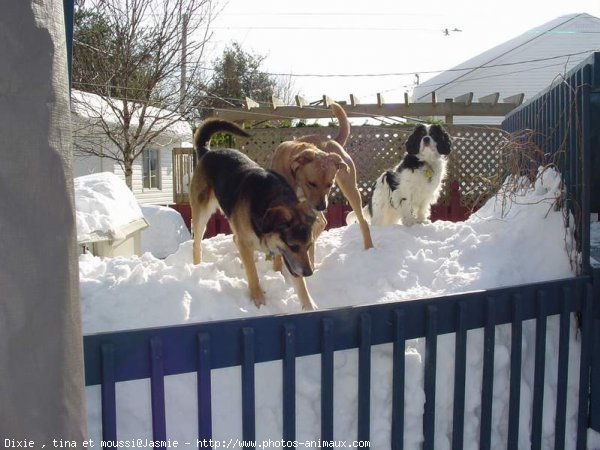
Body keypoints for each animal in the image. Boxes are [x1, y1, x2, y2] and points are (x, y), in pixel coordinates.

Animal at [191, 118, 318, 312]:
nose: (309, 273)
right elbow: (253, 275)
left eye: (309, 245)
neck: (274, 199)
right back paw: (197, 267)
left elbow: (301, 288)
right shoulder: (245, 243)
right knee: (196, 243)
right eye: (293, 246)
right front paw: (259, 300)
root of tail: (207, 152)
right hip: (202, 213)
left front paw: (310, 308)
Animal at [270, 100, 372, 268]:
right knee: (322, 223)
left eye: (330, 185)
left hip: (349, 189)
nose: (322, 206)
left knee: (361, 221)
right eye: (311, 183)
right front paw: (277, 270)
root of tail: (333, 141)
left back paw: (370, 248)